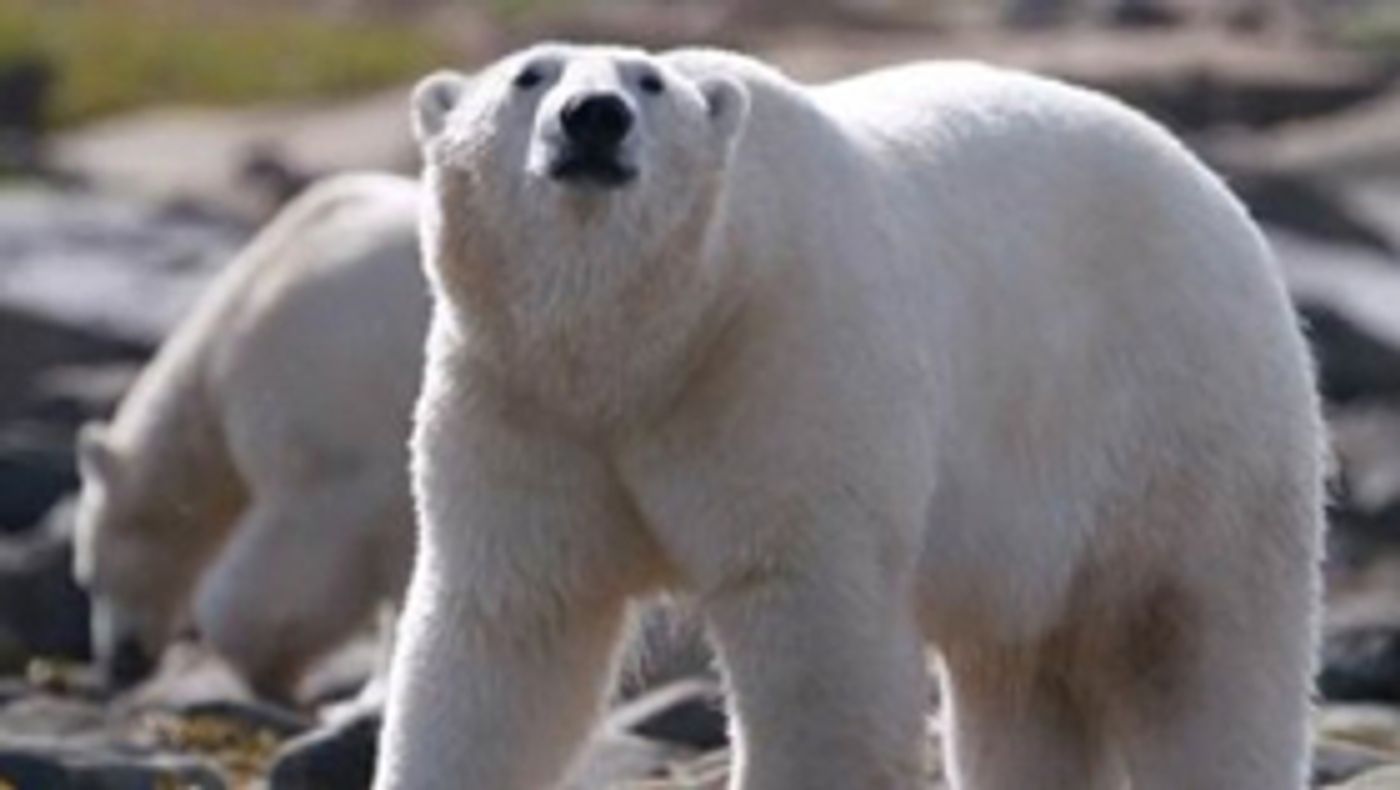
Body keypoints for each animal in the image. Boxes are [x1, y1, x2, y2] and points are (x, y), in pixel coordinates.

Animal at [376, 43, 1325, 790]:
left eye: (648, 83)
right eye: (529, 75)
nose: (594, 118)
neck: (652, 341)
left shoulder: (785, 359)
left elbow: (813, 636)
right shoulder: (524, 399)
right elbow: (509, 632)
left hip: (1182, 424)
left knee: (1201, 659)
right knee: (1024, 687)